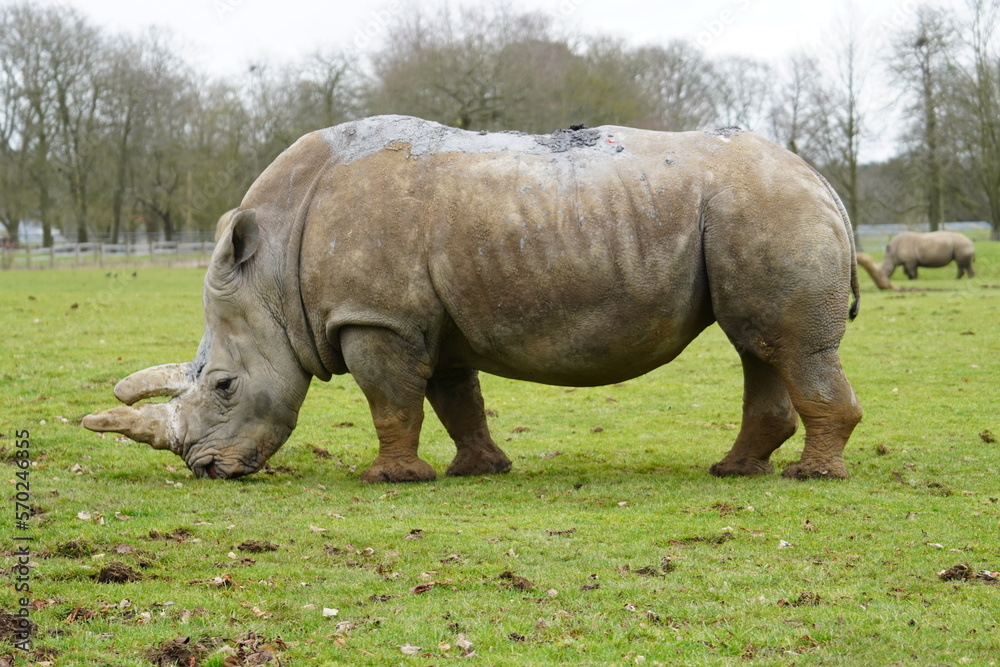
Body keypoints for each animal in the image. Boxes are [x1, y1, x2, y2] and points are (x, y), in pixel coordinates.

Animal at [83, 115, 863, 482]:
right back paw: (736, 470)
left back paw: (809, 476)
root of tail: (822, 181)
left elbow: (390, 399)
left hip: (767, 208)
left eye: (223, 386)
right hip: (753, 211)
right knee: (757, 344)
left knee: (787, 343)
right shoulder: (429, 319)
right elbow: (456, 397)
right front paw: (478, 469)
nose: (206, 469)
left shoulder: (378, 317)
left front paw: (390, 479)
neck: (271, 270)